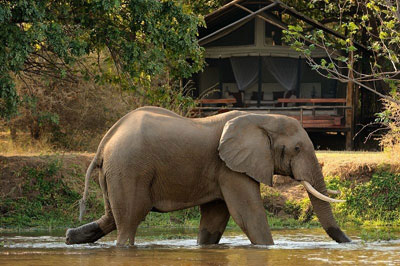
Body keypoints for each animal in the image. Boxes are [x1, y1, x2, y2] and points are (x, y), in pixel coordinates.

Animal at [65, 105, 350, 245]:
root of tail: (105, 141)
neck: (261, 118)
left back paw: (70, 237)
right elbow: (249, 214)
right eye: (297, 148)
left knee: (114, 215)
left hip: (116, 172)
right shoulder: (230, 168)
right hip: (129, 168)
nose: (350, 242)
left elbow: (215, 220)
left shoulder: (222, 170)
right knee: (129, 220)